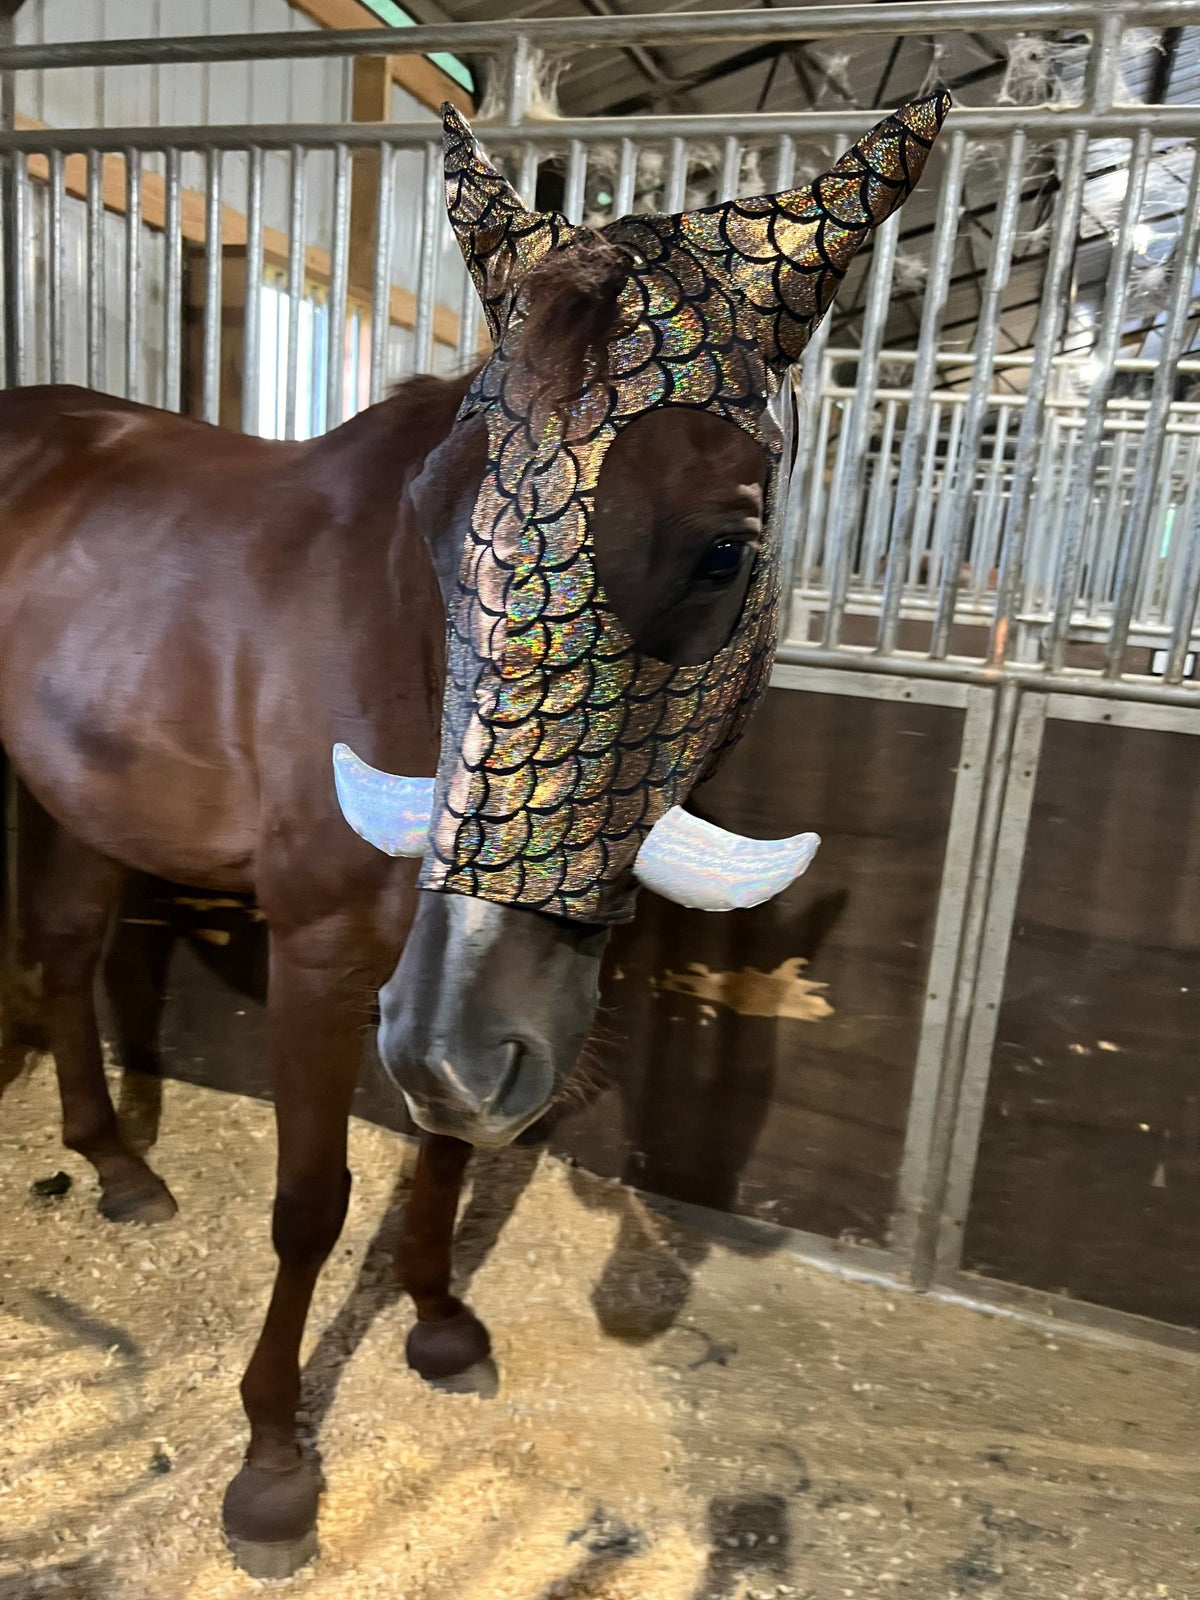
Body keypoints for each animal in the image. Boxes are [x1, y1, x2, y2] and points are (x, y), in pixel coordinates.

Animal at [0, 95, 946, 1575]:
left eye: (725, 553)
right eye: (432, 527)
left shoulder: (466, 1007)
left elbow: (445, 1149)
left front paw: (440, 1327)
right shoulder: (330, 961)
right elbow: (313, 1200)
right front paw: (272, 1467)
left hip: (81, 791)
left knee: (66, 942)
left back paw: (118, 1165)